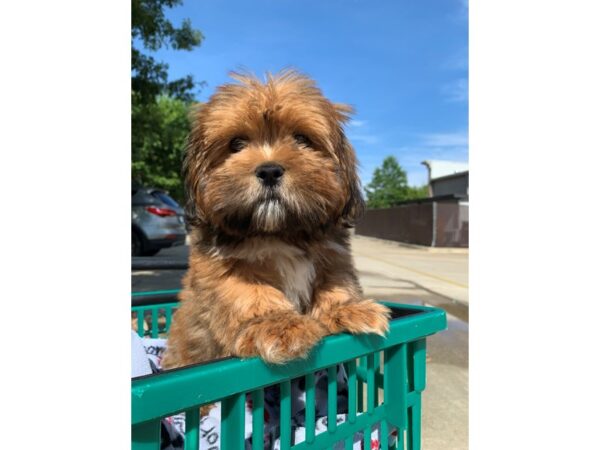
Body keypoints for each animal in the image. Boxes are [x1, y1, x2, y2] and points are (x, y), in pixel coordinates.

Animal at [162, 68, 392, 368]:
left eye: (302, 139)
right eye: (236, 144)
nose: (269, 170)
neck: (278, 231)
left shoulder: (333, 255)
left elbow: (335, 280)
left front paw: (348, 308)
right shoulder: (222, 268)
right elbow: (250, 293)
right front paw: (277, 325)